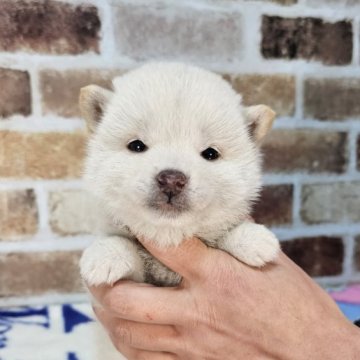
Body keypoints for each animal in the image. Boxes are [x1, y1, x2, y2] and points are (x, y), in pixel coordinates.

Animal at [80, 62, 280, 286]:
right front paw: (107, 254)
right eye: (137, 145)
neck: (168, 235)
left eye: (210, 153)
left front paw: (251, 237)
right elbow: (124, 245)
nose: (171, 180)